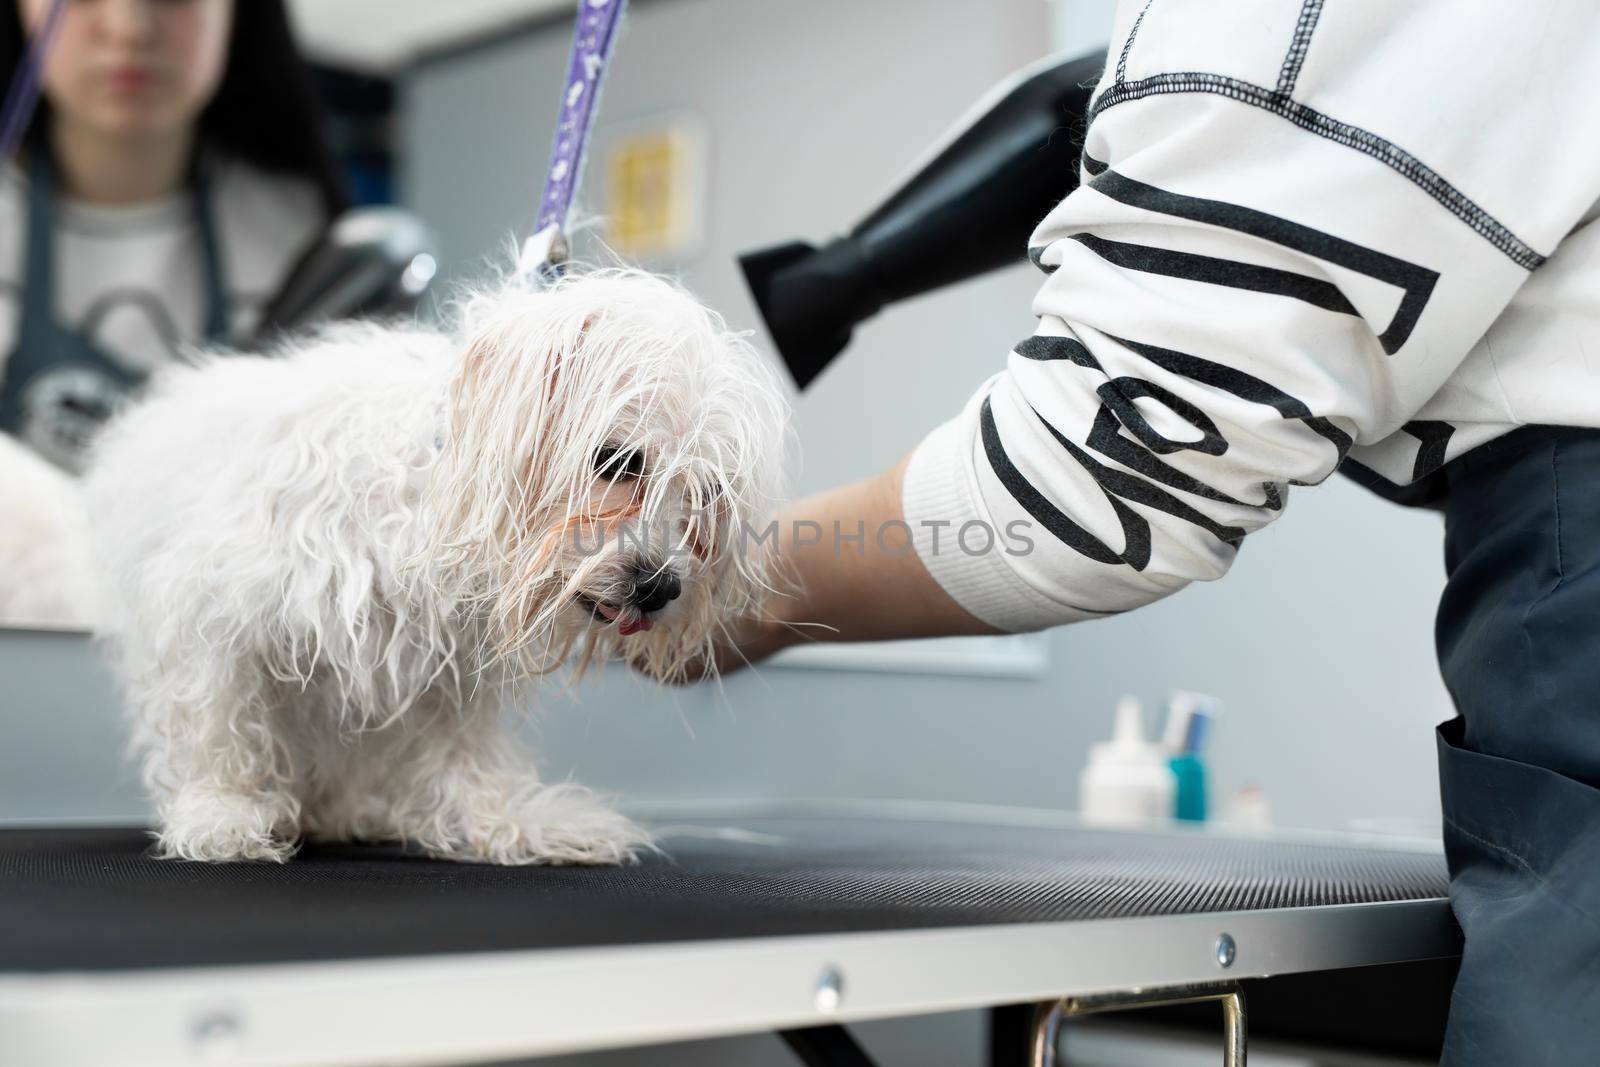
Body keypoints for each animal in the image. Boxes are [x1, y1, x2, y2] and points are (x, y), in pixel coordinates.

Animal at [86, 273, 787, 870]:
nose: (661, 586)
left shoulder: (452, 662)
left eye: (708, 493)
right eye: (616, 461)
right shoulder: (214, 617)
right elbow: (220, 722)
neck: (426, 491)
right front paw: (223, 812)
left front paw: (506, 822)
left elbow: (463, 748)